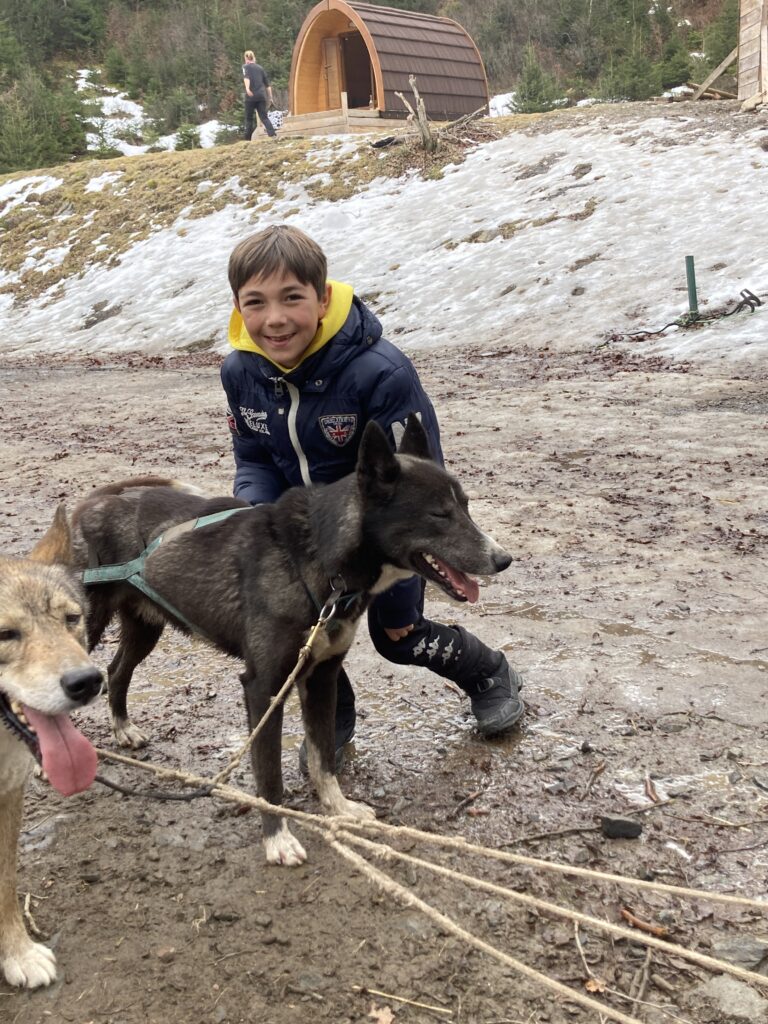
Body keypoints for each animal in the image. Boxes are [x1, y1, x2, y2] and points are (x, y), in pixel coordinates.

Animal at [57, 415, 512, 866]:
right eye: (439, 514)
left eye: (466, 506)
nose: (503, 559)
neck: (318, 563)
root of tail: (93, 503)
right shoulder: (263, 689)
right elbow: (270, 776)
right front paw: (277, 838)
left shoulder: (322, 677)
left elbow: (323, 758)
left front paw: (339, 809)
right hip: (83, 630)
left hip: (145, 629)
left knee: (117, 670)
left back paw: (122, 729)